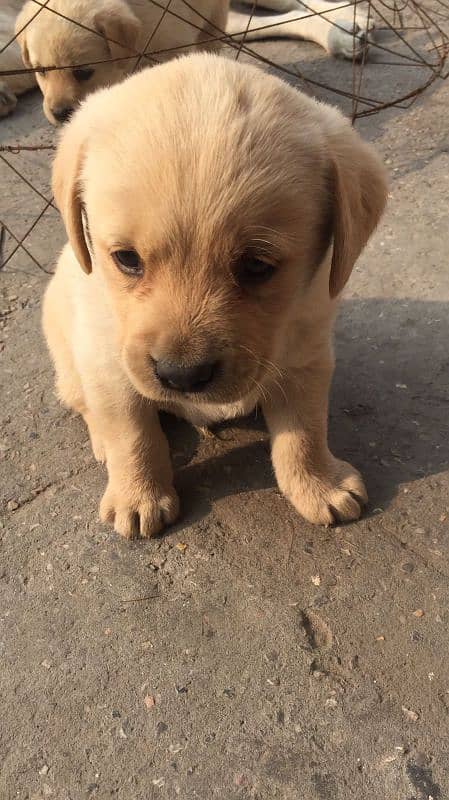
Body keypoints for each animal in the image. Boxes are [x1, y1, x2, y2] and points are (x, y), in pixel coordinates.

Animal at [43, 53, 384, 540]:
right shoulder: (108, 362)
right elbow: (132, 433)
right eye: (126, 259)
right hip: (69, 357)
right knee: (86, 405)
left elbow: (304, 431)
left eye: (257, 266)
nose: (181, 376)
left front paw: (319, 484)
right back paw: (102, 442)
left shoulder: (308, 355)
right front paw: (138, 496)